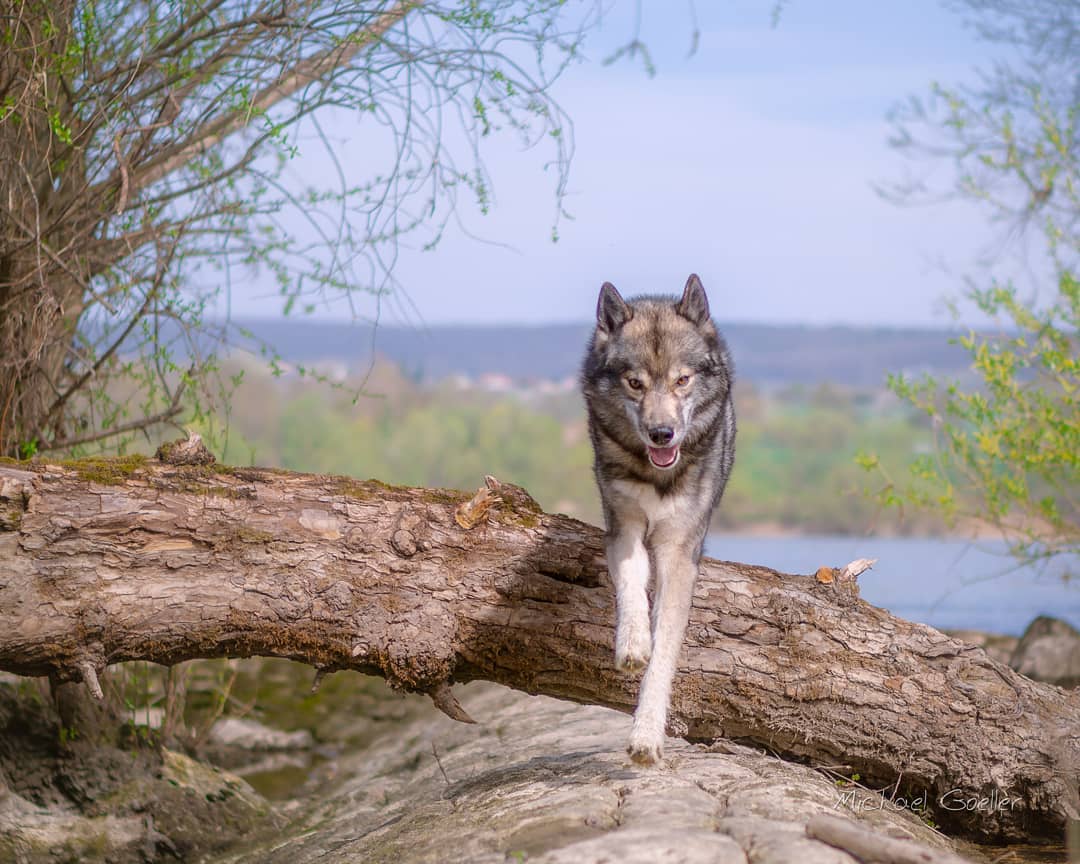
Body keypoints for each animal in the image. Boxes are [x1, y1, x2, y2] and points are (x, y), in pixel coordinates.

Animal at [583, 275, 734, 764]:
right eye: (635, 384)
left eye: (681, 380)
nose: (662, 434)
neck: (657, 474)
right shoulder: (623, 526)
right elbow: (632, 584)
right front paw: (633, 644)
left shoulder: (679, 554)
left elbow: (666, 651)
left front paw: (647, 735)